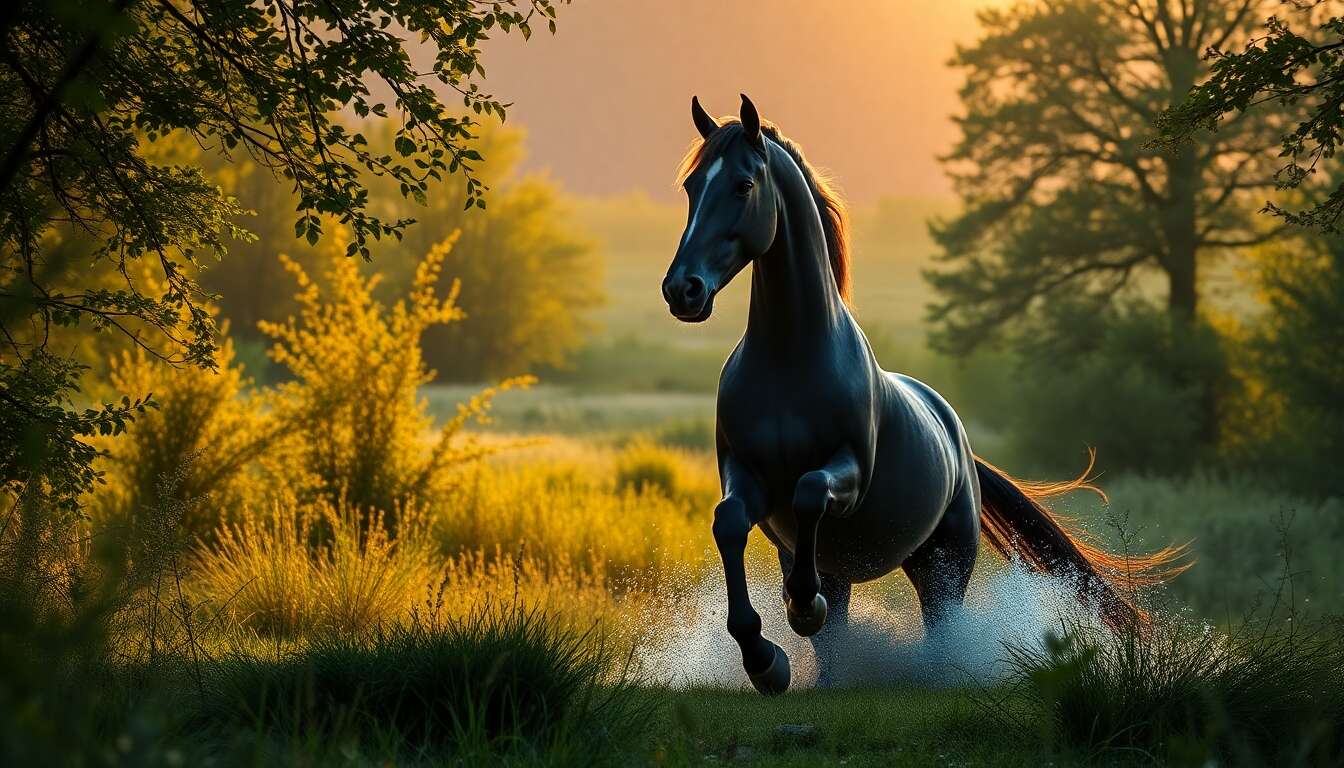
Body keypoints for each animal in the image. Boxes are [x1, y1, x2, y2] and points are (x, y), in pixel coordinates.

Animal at [660, 94, 1186, 694]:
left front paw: (799, 609)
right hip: (858, 563)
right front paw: (765, 660)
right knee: (834, 626)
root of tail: (958, 440)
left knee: (935, 623)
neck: (789, 364)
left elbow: (810, 492)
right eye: (691, 186)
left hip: (943, 565)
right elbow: (729, 524)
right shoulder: (747, 476)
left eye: (744, 185)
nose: (682, 289)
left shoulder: (849, 476)